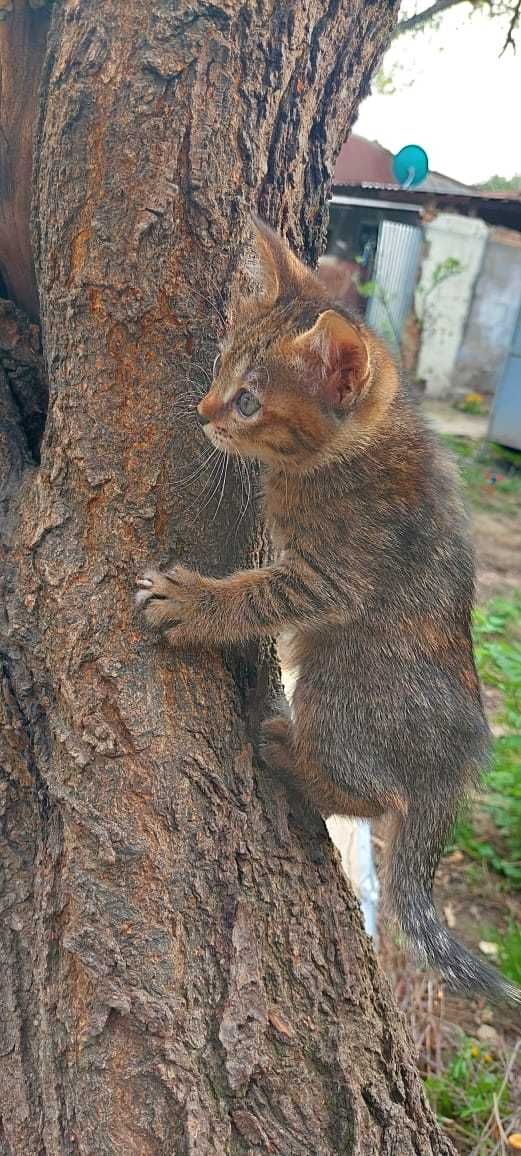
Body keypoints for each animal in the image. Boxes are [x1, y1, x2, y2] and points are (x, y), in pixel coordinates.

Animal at [136, 220, 519, 998]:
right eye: (220, 369)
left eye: (249, 402)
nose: (204, 412)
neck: (347, 451)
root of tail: (458, 762)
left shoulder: (330, 578)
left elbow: (258, 592)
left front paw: (194, 602)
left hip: (340, 679)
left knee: (371, 795)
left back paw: (288, 750)